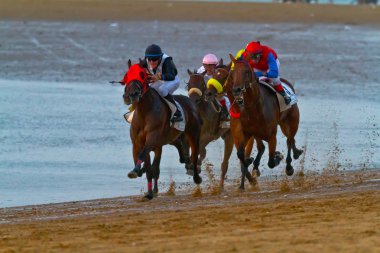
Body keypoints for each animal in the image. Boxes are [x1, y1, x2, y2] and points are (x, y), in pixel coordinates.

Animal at [124, 60, 202, 199]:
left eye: (142, 76)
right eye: (127, 75)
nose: (132, 94)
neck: (144, 112)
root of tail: (191, 102)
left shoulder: (152, 140)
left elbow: (147, 161)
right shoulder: (139, 143)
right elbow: (147, 166)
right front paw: (148, 189)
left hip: (194, 134)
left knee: (194, 154)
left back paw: (196, 177)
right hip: (171, 138)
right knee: (180, 149)